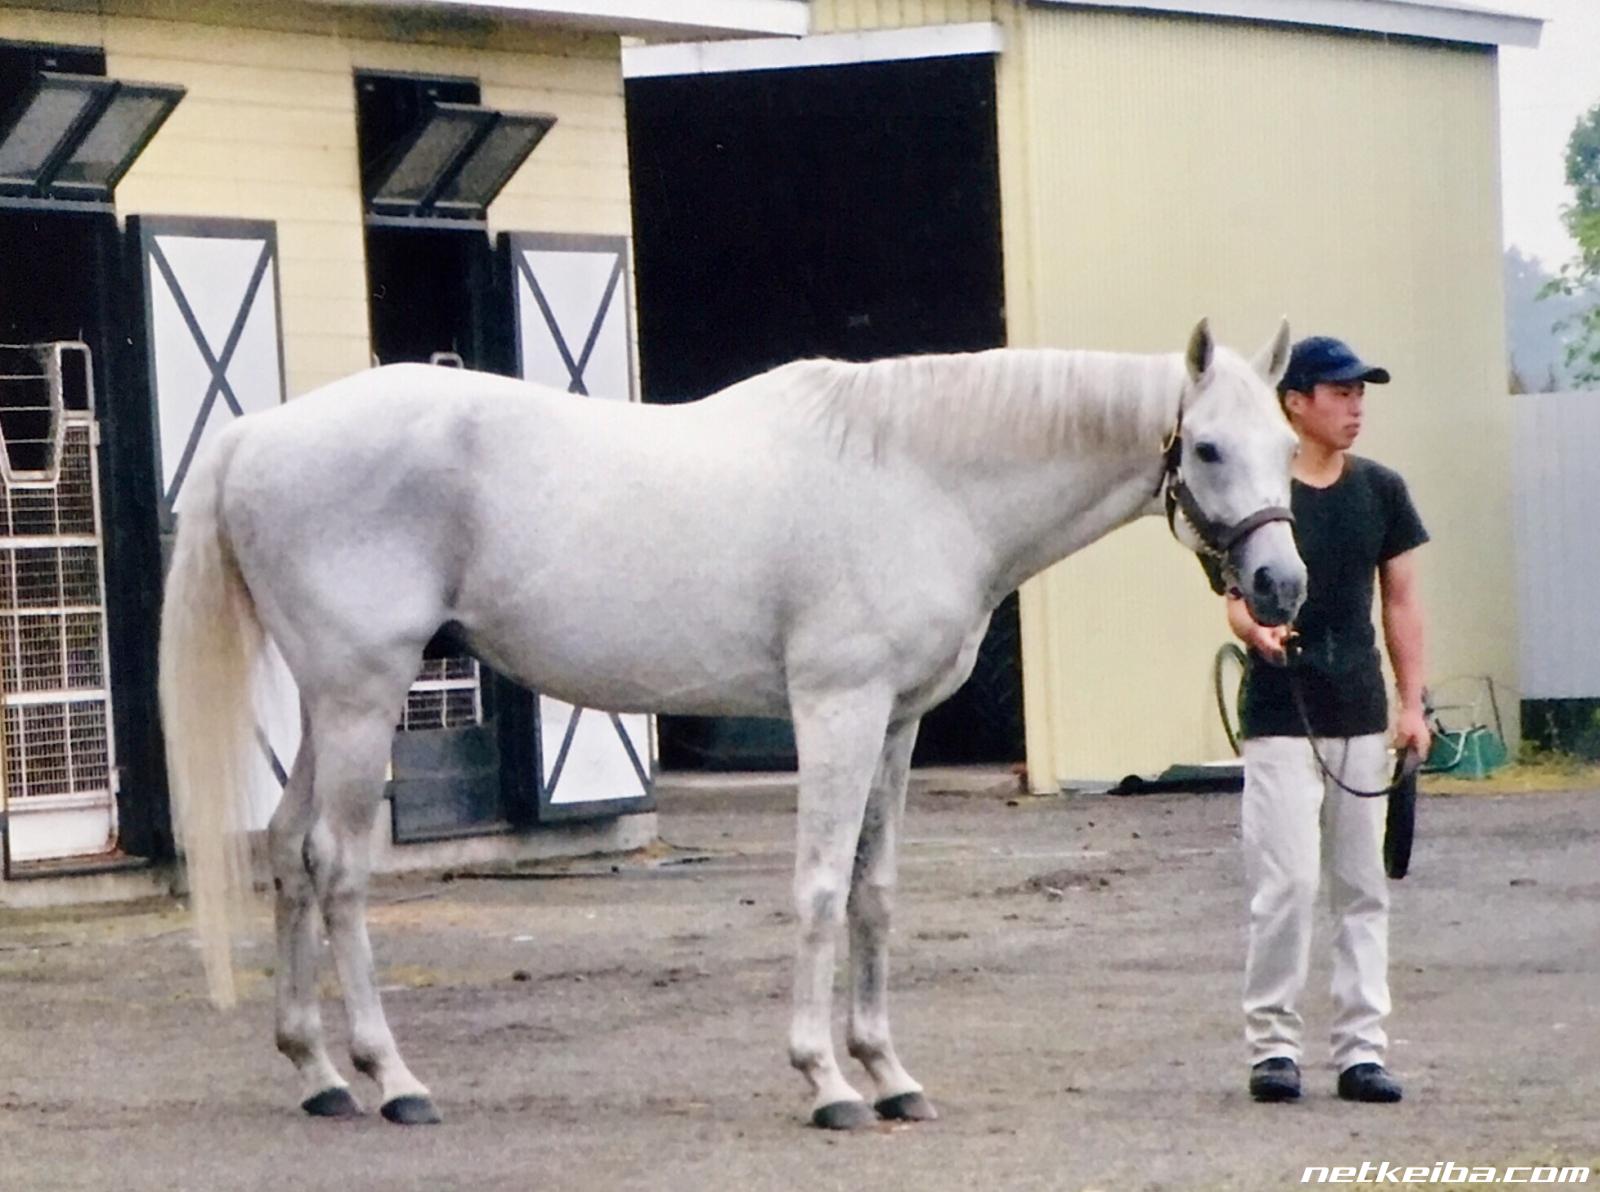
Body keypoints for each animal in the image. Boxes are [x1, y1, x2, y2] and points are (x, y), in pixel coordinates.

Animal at [162, 313, 1305, 1126]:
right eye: (1206, 448)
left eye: (1287, 444)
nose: (1282, 586)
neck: (917, 473)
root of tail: (257, 430)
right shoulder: (838, 708)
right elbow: (817, 889)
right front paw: (828, 1082)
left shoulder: (896, 725)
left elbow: (873, 893)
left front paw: (889, 1073)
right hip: (362, 696)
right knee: (339, 869)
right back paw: (392, 1078)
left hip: (329, 703)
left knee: (288, 853)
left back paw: (317, 1073)